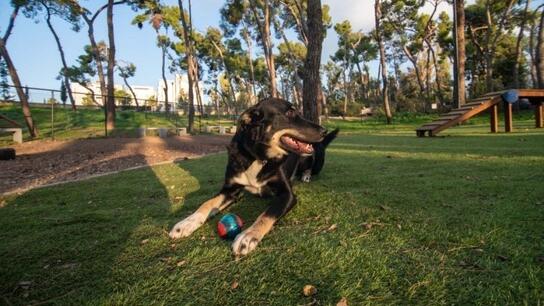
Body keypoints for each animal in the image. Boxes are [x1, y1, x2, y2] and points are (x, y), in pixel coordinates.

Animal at [168, 97, 338, 256]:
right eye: (290, 113)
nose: (324, 130)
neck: (258, 156)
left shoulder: (287, 194)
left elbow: (267, 213)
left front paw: (248, 235)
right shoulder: (230, 189)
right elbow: (207, 203)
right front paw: (186, 223)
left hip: (309, 158)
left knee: (309, 168)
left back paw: (305, 176)